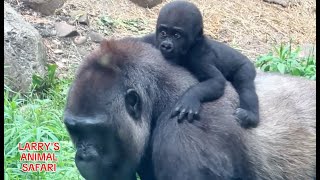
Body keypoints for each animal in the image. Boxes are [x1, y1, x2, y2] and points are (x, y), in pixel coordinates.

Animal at [141, 0, 258, 129]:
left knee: (245, 85)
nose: (166, 45)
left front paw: (190, 97)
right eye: (163, 33)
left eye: (177, 35)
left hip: (247, 66)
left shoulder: (199, 55)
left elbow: (216, 80)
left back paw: (250, 115)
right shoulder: (152, 40)